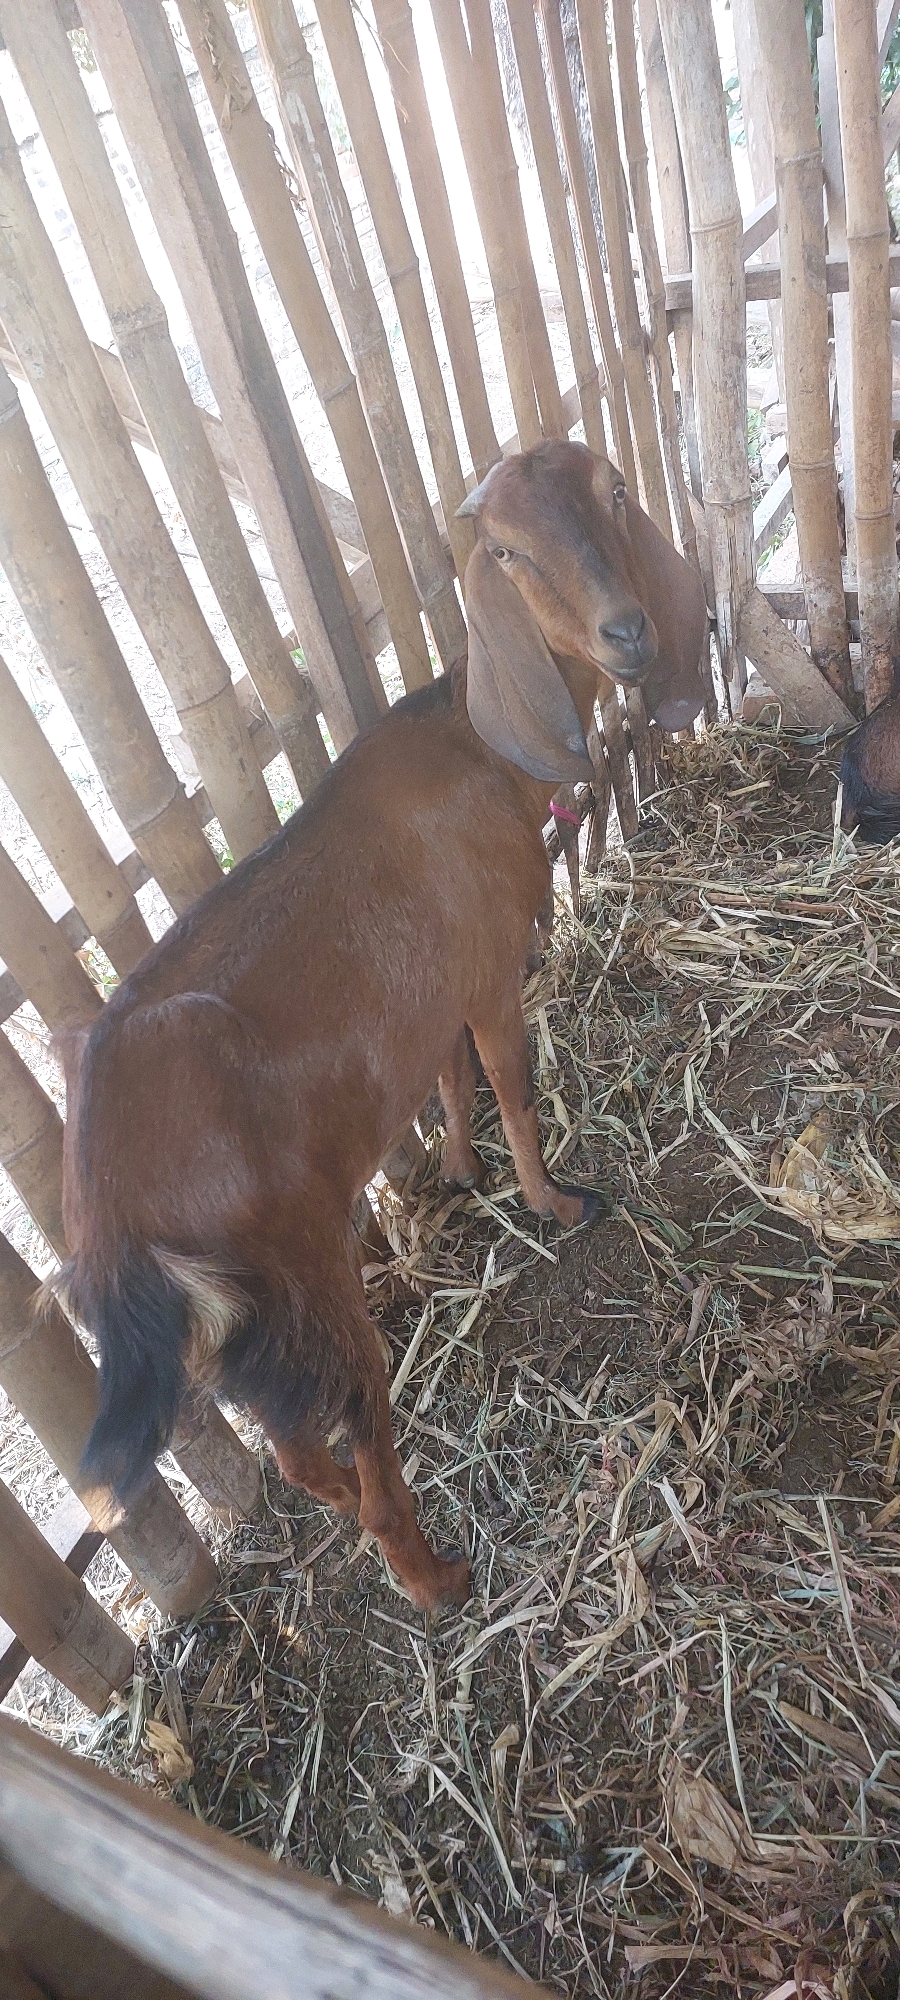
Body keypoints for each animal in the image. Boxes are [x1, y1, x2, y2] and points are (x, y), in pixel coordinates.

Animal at [57, 440, 708, 1613]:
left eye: (616, 493)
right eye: (506, 550)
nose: (631, 632)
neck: (475, 744)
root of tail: (115, 1215)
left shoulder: (436, 996)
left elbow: (449, 1082)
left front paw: (457, 1172)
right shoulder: (491, 969)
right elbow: (513, 1089)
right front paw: (554, 1201)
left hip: (237, 1345)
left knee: (297, 1456)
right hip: (307, 1280)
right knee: (361, 1439)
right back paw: (439, 1576)